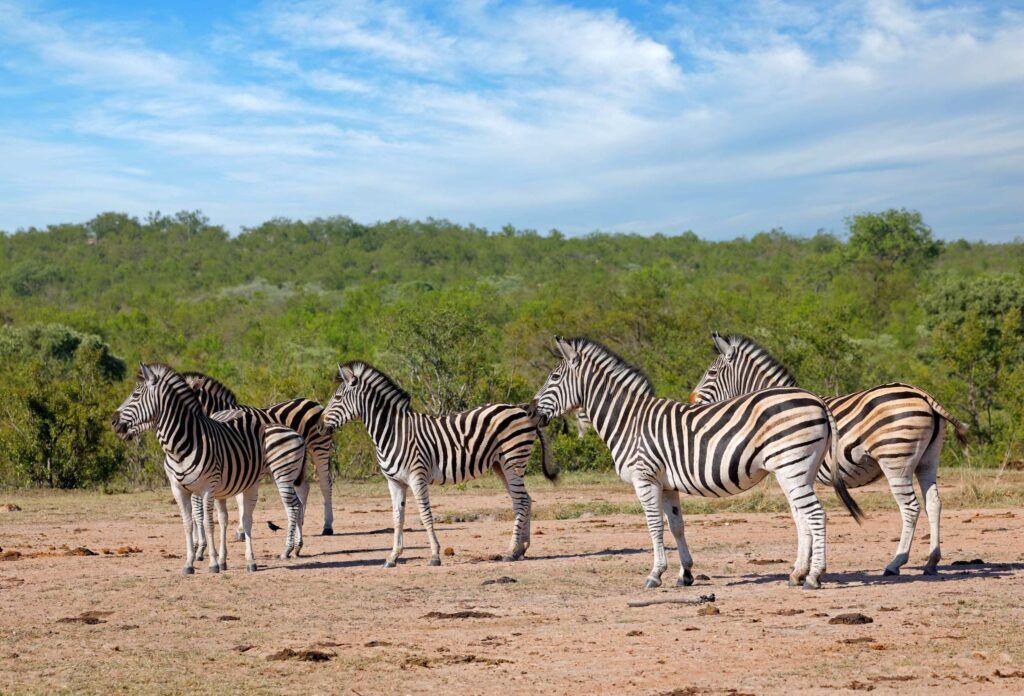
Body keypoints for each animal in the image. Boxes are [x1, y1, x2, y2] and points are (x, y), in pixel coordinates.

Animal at [112, 363, 308, 573]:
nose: (113, 421)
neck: (182, 445)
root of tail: (297, 433)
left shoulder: (206, 488)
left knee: (273, 512)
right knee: (247, 515)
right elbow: (189, 522)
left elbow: (206, 521)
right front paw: (190, 562)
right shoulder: (179, 489)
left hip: (279, 475)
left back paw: (271, 555)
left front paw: (210, 560)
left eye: (135, 395)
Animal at [181, 372, 337, 542]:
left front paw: (240, 530)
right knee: (304, 487)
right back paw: (299, 524)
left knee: (325, 484)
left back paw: (327, 526)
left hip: (319, 447)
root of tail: (312, 401)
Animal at [320, 361, 557, 567]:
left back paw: (510, 551)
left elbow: (425, 515)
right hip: (501, 465)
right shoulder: (394, 482)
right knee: (525, 500)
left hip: (513, 461)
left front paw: (434, 555)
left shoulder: (417, 477)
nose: (321, 425)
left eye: (337, 397)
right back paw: (520, 549)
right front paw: (393, 557)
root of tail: (522, 410)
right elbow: (397, 518)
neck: (394, 432)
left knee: (521, 501)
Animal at [530, 337, 861, 590]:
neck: (629, 420)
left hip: (792, 466)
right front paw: (685, 573)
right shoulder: (666, 484)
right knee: (803, 516)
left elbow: (654, 526)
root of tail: (816, 400)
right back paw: (797, 573)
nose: (530, 412)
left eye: (554, 378)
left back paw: (814, 577)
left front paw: (654, 575)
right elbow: (677, 526)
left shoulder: (645, 479)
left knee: (815, 514)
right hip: (796, 470)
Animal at [691, 332, 969, 576]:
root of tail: (923, 394)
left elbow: (799, 513)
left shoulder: (790, 470)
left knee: (910, 508)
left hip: (896, 461)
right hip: (928, 460)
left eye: (711, 373)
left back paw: (895, 563)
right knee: (934, 504)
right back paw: (931, 561)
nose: (691, 402)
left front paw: (803, 566)